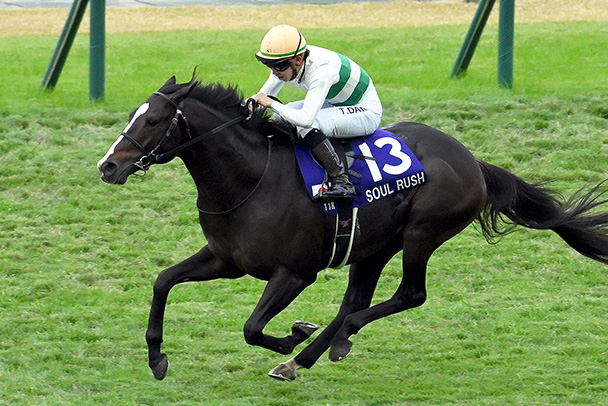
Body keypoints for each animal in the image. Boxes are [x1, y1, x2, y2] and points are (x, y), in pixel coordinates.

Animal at [97, 74, 608, 381]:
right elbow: (163, 281)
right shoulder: (226, 259)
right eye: (133, 115)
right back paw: (308, 355)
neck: (250, 178)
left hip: (421, 234)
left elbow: (252, 327)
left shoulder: (295, 272)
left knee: (406, 296)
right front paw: (157, 357)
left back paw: (325, 343)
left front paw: (294, 333)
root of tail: (473, 162)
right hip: (373, 245)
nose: (108, 166)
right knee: (355, 300)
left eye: (155, 120)